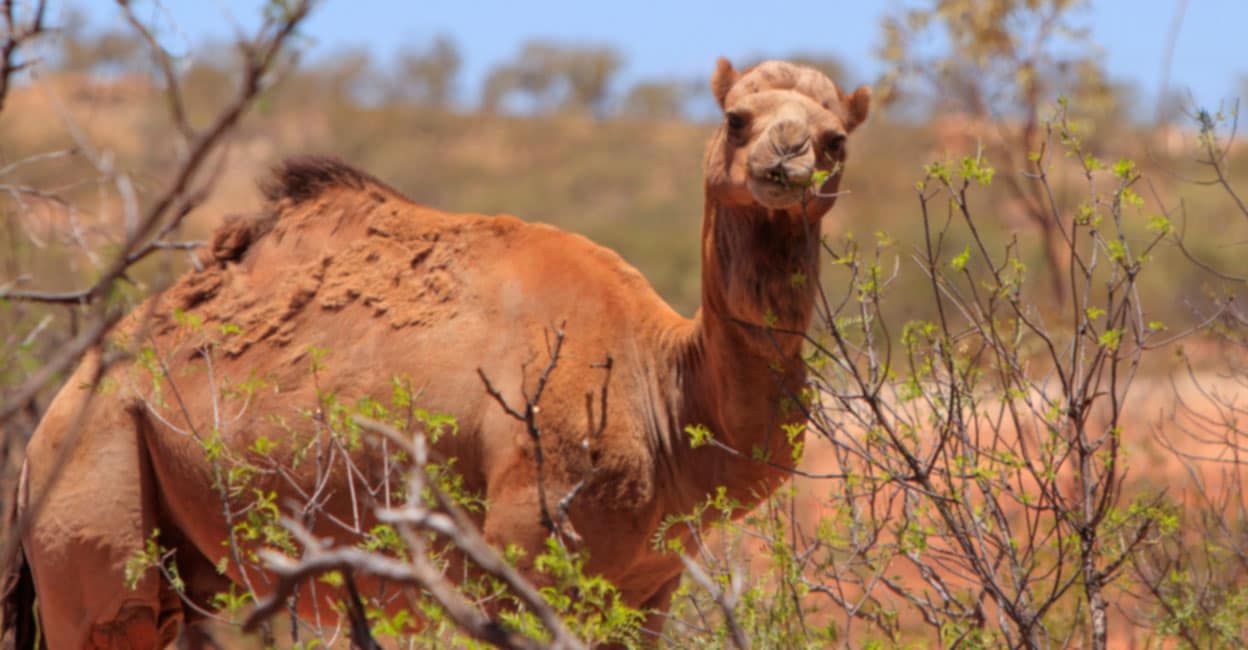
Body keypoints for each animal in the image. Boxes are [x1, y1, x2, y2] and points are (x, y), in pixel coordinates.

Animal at [4, 58, 868, 643]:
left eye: (836, 141)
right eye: (736, 119)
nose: (787, 158)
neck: (661, 383)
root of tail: (59, 406)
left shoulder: (645, 596)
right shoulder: (525, 555)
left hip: (191, 566)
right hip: (95, 490)